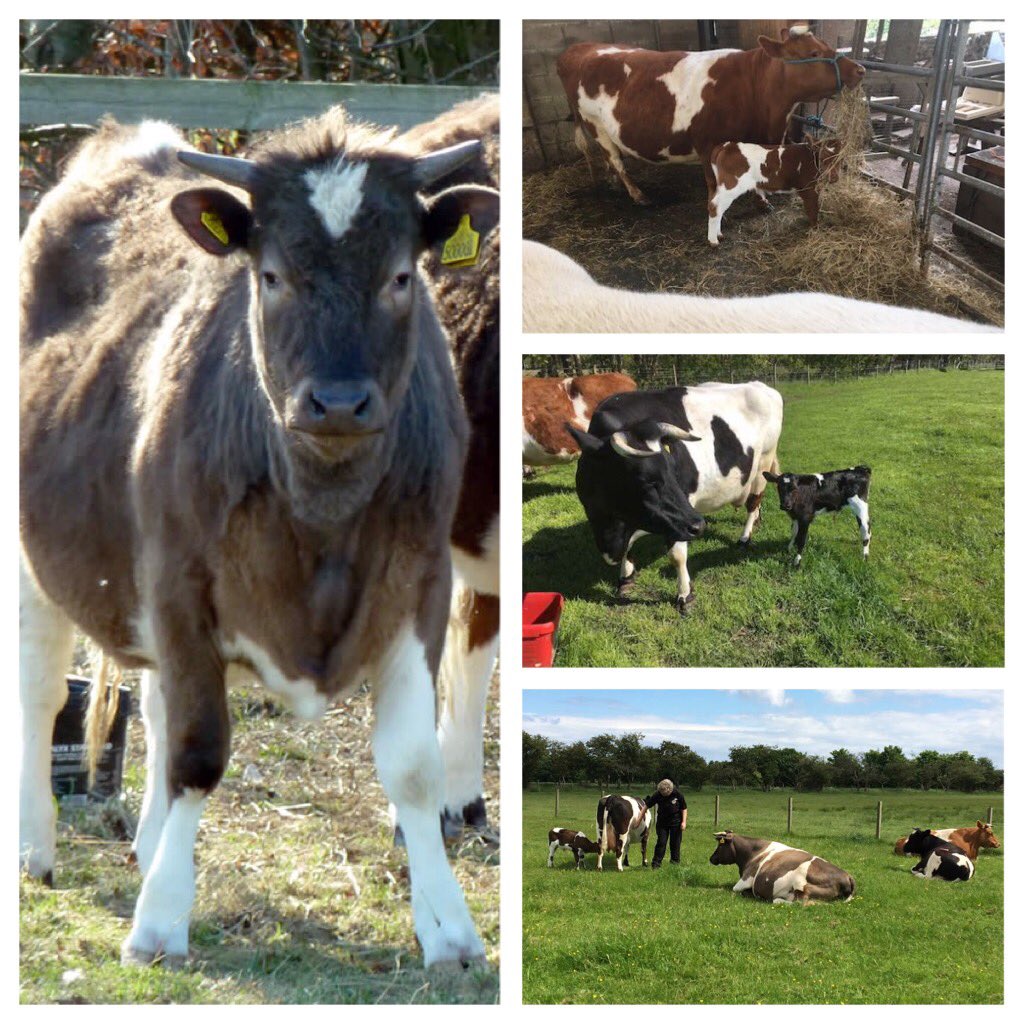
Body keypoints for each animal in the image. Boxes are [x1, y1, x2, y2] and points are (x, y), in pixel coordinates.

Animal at [19, 107, 499, 970]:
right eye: (271, 275)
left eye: (400, 276)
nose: (337, 402)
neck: (320, 511)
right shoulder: (180, 585)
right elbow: (198, 751)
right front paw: (160, 923)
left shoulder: (419, 585)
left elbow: (412, 769)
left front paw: (448, 928)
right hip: (34, 560)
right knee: (42, 694)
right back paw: (36, 849)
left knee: (151, 706)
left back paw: (148, 848)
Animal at [557, 27, 864, 208]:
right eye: (814, 52)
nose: (860, 69)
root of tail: (579, 48)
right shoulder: (708, 146)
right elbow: (712, 184)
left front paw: (762, 201)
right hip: (596, 125)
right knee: (616, 160)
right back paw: (638, 195)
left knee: (609, 160)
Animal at [566, 383, 784, 614]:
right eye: (646, 480)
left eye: (674, 470)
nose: (699, 525)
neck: (609, 527)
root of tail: (760, 385)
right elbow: (628, 550)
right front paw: (626, 578)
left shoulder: (680, 515)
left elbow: (677, 556)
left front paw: (685, 595)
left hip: (762, 465)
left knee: (753, 502)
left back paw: (745, 537)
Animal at [706, 138, 842, 246]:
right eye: (823, 158)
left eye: (839, 158)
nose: (834, 178)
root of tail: (728, 145)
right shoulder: (809, 189)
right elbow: (813, 210)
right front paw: (816, 229)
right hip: (731, 186)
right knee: (715, 206)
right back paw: (713, 241)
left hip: (721, 187)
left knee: (717, 207)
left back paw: (719, 234)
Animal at [710, 831, 855, 904]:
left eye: (720, 845)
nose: (711, 858)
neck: (752, 853)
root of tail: (847, 875)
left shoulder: (745, 880)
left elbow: (733, 889)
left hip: (803, 886)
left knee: (802, 902)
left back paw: (778, 899)